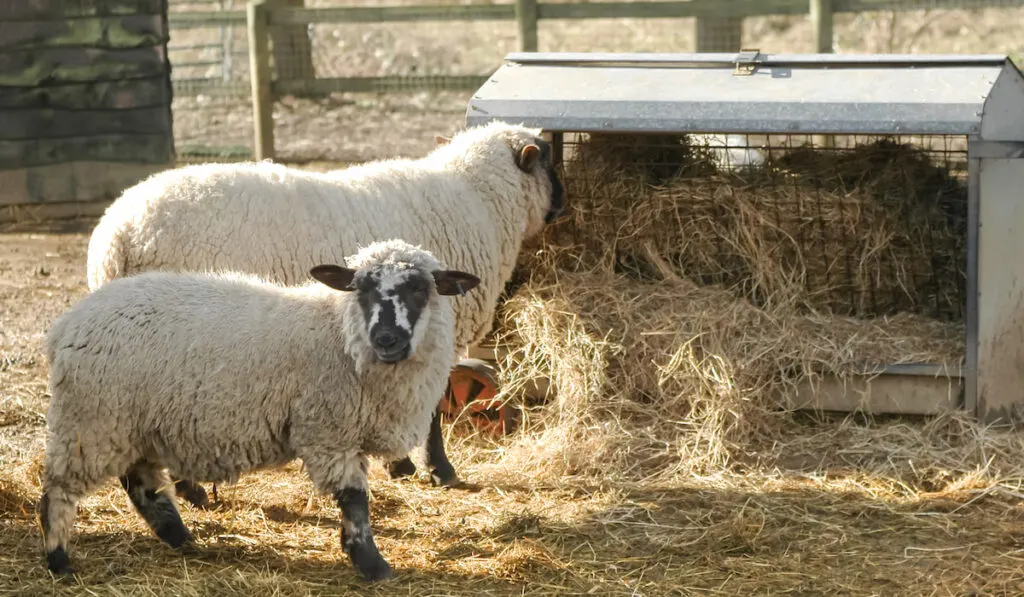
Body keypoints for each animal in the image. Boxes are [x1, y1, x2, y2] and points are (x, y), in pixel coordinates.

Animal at [38, 239, 483, 585]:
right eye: (362, 289)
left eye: (419, 288)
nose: (386, 338)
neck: (339, 332)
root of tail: (66, 325)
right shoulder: (328, 431)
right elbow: (355, 500)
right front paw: (372, 565)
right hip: (91, 419)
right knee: (59, 488)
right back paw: (59, 560)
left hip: (135, 420)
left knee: (142, 483)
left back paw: (181, 538)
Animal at [86, 117, 569, 499]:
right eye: (548, 159)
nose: (565, 206)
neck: (480, 198)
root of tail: (119, 234)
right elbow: (430, 411)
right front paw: (436, 469)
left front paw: (400, 466)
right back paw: (193, 492)